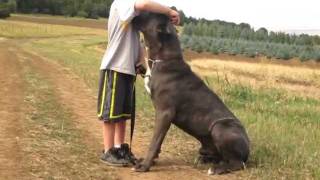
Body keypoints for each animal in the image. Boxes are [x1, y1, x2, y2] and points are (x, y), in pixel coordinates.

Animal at [132, 12, 250, 174]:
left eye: (148, 14)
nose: (133, 13)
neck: (163, 59)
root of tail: (249, 148)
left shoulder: (165, 113)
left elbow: (155, 141)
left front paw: (145, 165)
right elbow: (158, 143)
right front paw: (151, 161)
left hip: (220, 128)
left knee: (237, 163)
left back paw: (216, 169)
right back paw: (205, 160)